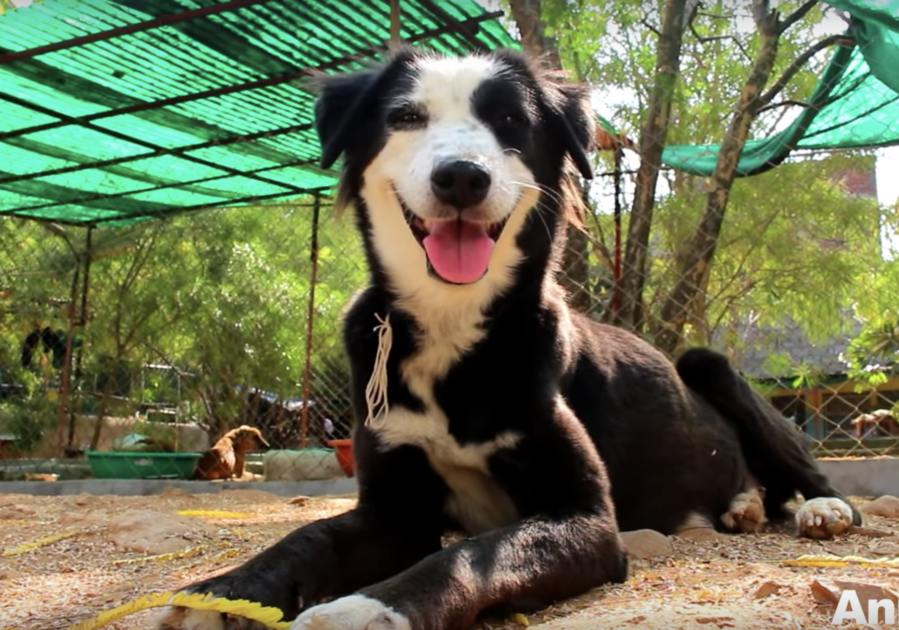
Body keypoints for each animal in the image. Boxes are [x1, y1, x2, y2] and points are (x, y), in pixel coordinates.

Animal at [158, 48, 860, 630]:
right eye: (405, 116)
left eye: (510, 120)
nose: (461, 177)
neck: (453, 325)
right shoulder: (392, 513)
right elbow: (306, 538)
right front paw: (225, 593)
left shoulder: (584, 518)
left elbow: (473, 555)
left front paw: (366, 610)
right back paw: (744, 506)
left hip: (708, 363)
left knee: (806, 475)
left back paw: (821, 509)